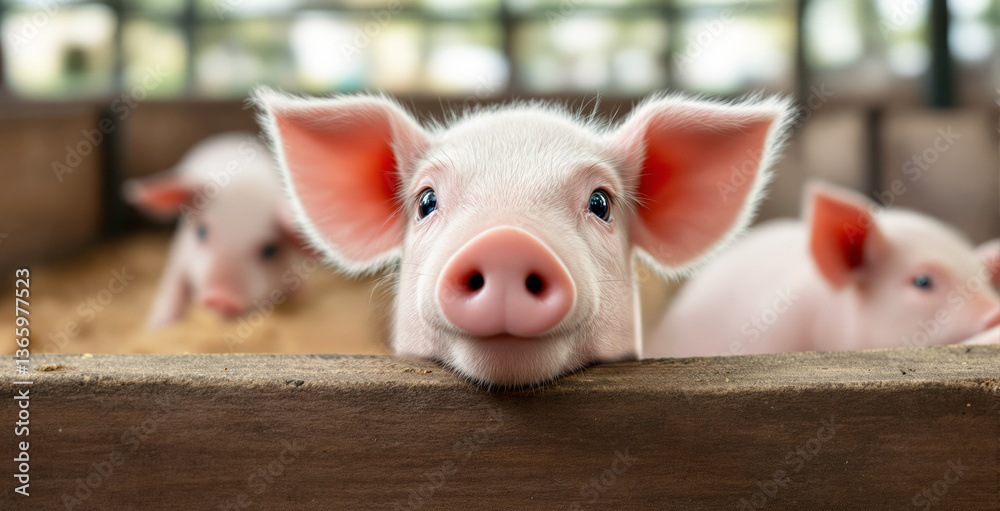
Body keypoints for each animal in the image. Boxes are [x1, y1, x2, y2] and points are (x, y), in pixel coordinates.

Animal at [123, 132, 306, 328]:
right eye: (201, 232)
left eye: (270, 250)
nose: (221, 298)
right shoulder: (180, 253)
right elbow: (173, 287)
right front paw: (155, 327)